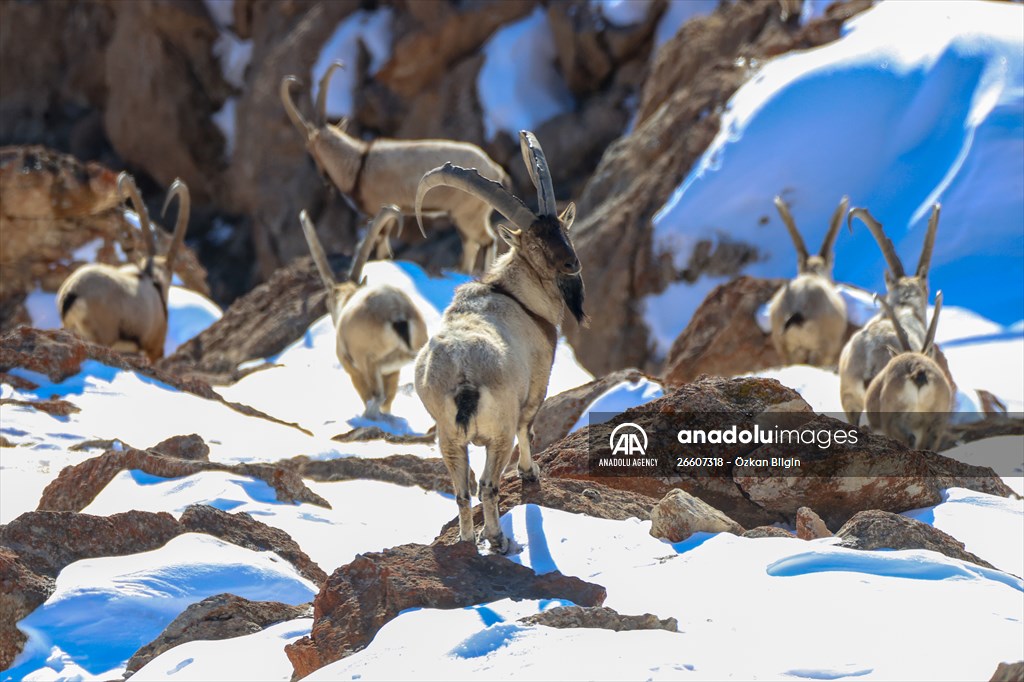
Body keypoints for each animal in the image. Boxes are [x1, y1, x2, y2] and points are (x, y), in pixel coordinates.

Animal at [282, 62, 510, 273]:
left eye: (310, 150)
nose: (325, 180)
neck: (357, 165)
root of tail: (495, 169)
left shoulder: (382, 208)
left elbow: (383, 248)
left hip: (468, 213)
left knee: (486, 239)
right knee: (471, 244)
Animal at [300, 204, 427, 418]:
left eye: (328, 304)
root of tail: (398, 314)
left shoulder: (351, 366)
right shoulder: (392, 373)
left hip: (369, 360)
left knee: (376, 395)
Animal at [414, 130, 586, 554]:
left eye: (563, 231)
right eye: (535, 242)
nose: (572, 263)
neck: (516, 296)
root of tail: (463, 377)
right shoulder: (536, 386)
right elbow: (530, 428)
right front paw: (531, 473)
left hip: (447, 439)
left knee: (462, 491)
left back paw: (466, 539)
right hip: (497, 433)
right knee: (488, 485)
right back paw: (499, 540)